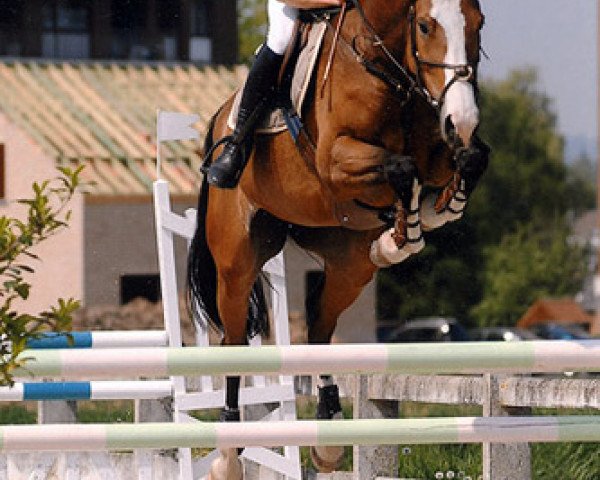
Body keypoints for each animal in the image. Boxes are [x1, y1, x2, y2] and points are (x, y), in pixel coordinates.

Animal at [188, 0, 488, 472]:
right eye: (424, 26)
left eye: (480, 24)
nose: (465, 118)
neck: (388, 70)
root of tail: (219, 122)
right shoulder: (336, 158)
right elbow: (403, 167)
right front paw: (407, 228)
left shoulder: (439, 141)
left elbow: (469, 159)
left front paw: (419, 220)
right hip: (236, 262)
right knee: (233, 339)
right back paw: (230, 448)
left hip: (347, 262)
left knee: (319, 320)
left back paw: (328, 427)